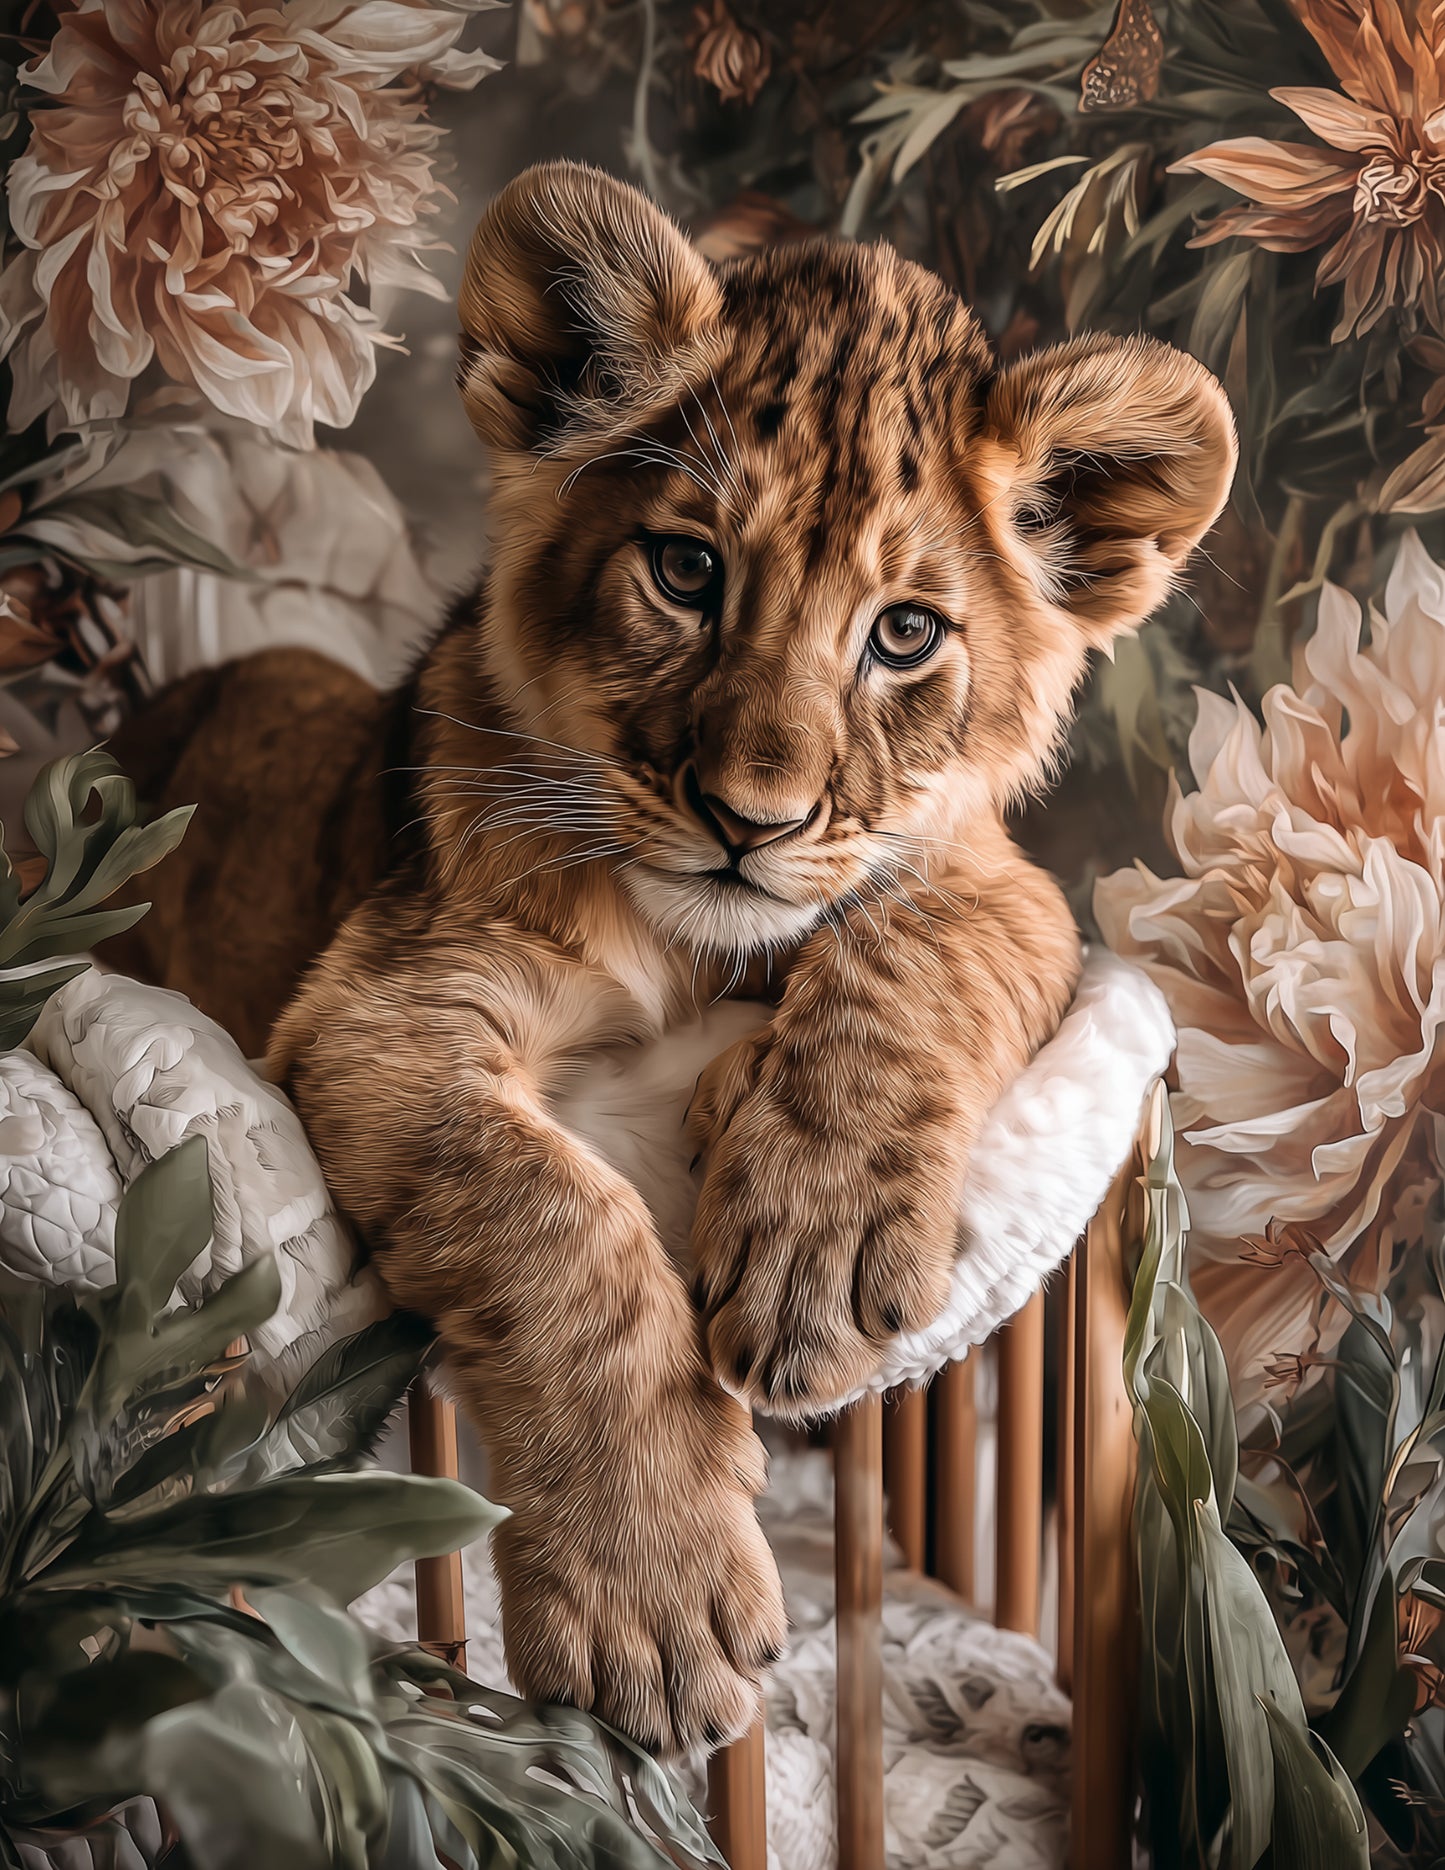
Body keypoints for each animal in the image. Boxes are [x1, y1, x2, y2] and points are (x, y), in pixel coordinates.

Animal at [105, 160, 1236, 1754]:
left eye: (905, 634)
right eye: (688, 570)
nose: (749, 821)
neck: (694, 947)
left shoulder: (1002, 877)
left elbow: (920, 944)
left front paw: (816, 1245)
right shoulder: (379, 1001)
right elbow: (550, 1219)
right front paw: (650, 1600)